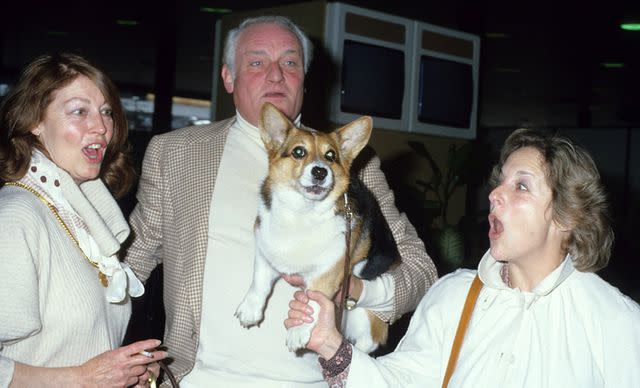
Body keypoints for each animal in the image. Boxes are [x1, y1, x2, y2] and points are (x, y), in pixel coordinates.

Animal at [232, 101, 398, 354]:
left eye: (331, 156)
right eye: (299, 152)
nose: (320, 171)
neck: (301, 212)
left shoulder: (327, 273)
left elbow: (313, 301)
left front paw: (298, 332)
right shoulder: (265, 253)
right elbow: (258, 282)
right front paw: (250, 310)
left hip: (363, 316)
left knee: (368, 341)